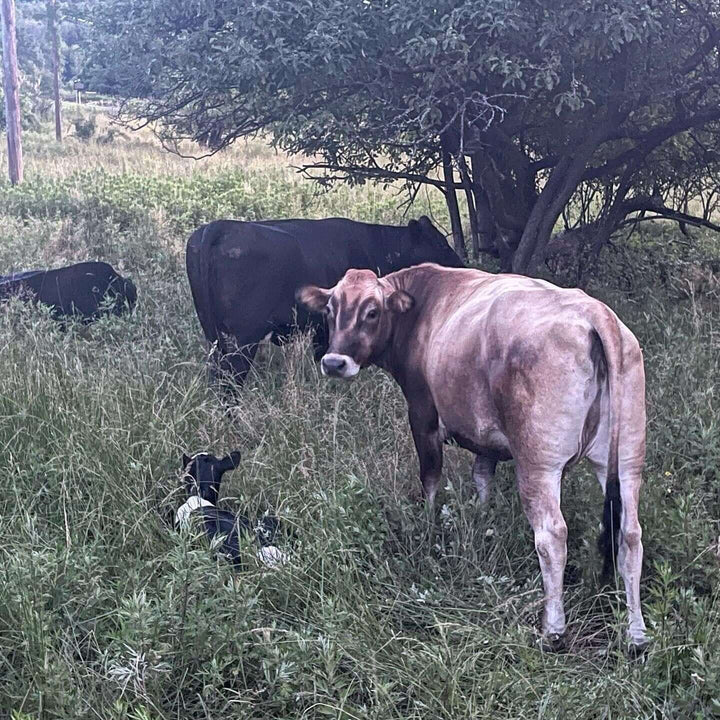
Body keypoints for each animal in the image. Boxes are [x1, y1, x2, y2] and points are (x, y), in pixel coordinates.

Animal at [297, 263, 649, 652]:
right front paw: (482, 521)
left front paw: (429, 524)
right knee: (630, 534)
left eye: (372, 312)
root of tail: (593, 312)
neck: (424, 306)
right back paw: (636, 633)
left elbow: (431, 478)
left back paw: (553, 629)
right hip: (627, 459)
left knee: (552, 536)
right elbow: (482, 477)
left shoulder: (422, 412)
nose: (334, 362)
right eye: (330, 311)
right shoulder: (485, 435)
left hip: (538, 464)